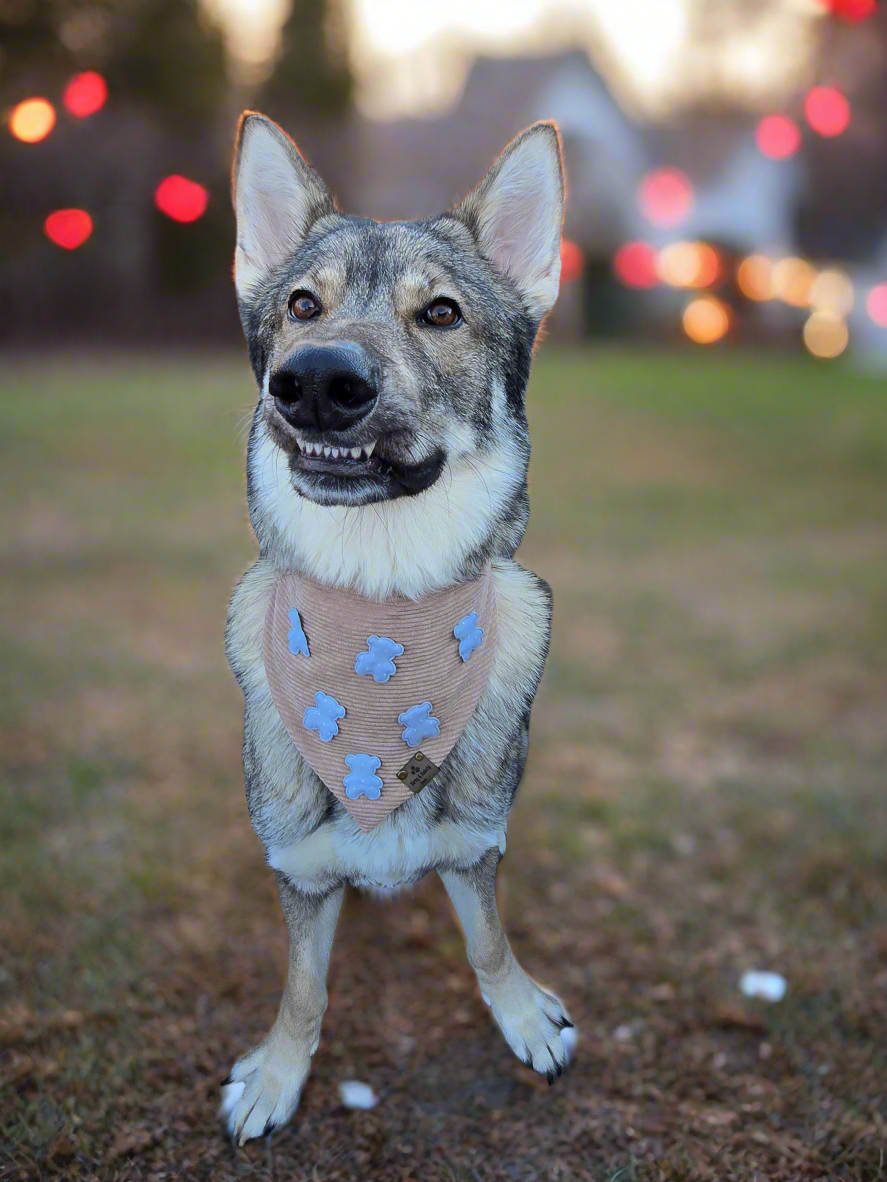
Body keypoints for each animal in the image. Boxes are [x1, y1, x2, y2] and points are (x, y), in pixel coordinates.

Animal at [218, 112, 572, 1144]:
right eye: (302, 306)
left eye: (442, 314)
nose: (314, 380)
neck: (378, 638)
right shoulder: (299, 872)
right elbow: (302, 989)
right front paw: (277, 1076)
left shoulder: (478, 845)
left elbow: (489, 945)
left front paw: (524, 1018)